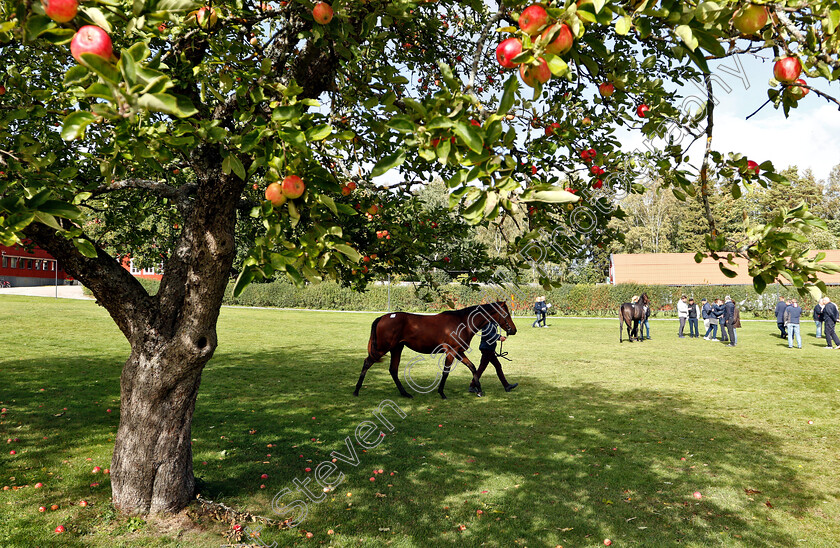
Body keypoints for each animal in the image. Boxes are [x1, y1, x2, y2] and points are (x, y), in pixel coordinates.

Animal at [352, 302, 516, 400]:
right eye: (506, 314)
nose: (513, 330)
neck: (462, 322)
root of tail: (382, 317)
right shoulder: (451, 352)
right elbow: (445, 372)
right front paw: (442, 393)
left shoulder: (459, 352)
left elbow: (473, 367)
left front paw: (478, 389)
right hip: (382, 349)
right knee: (367, 362)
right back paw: (356, 390)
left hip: (396, 348)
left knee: (393, 369)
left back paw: (405, 393)